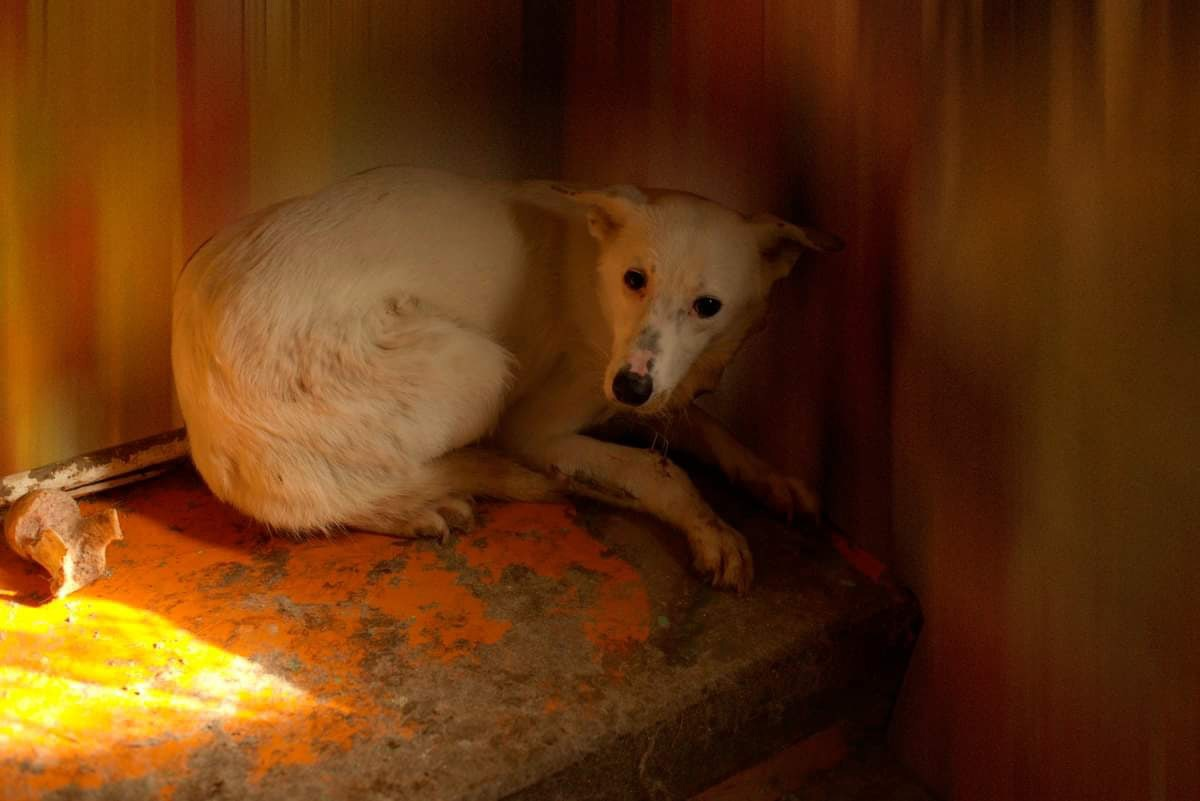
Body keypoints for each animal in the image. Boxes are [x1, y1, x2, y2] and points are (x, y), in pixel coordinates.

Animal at [174, 165, 840, 592]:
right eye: (635, 278)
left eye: (708, 306)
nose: (629, 389)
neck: (595, 280)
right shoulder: (539, 427)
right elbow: (661, 470)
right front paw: (713, 529)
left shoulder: (649, 389)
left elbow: (712, 432)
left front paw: (774, 479)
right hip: (479, 366)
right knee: (324, 497)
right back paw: (425, 503)